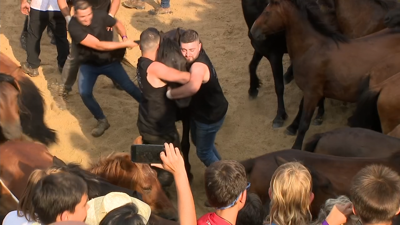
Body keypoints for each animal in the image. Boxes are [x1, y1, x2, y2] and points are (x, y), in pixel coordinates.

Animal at [250, 0, 400, 149]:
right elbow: (301, 108)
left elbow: (305, 124)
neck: (312, 48)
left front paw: (296, 146)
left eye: (267, 12)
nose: (252, 31)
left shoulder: (312, 93)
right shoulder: (310, 91)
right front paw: (292, 127)